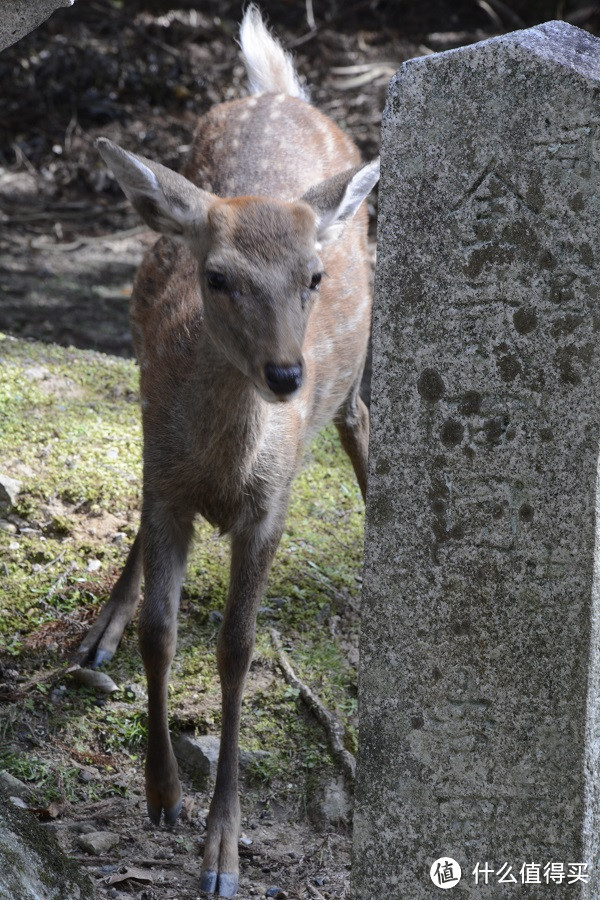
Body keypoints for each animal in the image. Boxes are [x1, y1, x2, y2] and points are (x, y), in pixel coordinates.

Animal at [74, 5, 376, 892]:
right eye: (218, 276)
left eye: (314, 277)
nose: (285, 373)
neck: (223, 471)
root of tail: (278, 90)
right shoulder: (167, 482)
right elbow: (161, 631)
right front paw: (162, 794)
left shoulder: (270, 507)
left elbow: (237, 651)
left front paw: (222, 850)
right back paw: (97, 634)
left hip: (350, 376)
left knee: (358, 416)